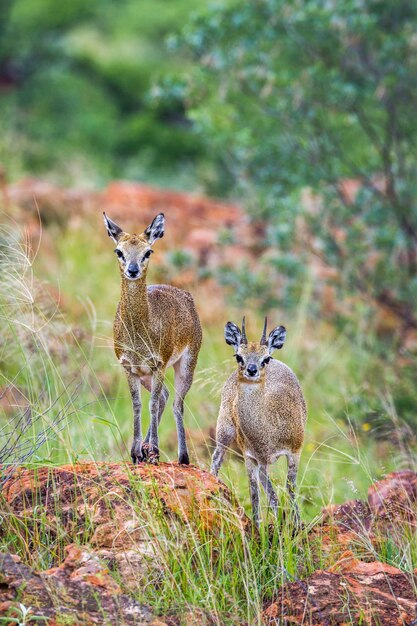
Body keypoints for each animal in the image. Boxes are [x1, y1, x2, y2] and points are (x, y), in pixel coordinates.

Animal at [103, 213, 202, 464]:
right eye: (119, 251)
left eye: (148, 251)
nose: (133, 269)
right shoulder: (129, 367)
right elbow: (138, 404)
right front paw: (136, 451)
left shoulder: (159, 364)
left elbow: (152, 404)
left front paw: (154, 450)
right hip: (148, 374)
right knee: (165, 396)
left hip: (185, 364)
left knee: (177, 403)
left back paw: (182, 456)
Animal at [211, 316, 306, 528]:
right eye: (238, 356)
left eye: (266, 359)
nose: (251, 370)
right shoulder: (251, 457)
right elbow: (258, 493)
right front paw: (261, 527)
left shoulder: (294, 452)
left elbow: (289, 488)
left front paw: (296, 525)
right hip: (224, 430)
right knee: (217, 459)